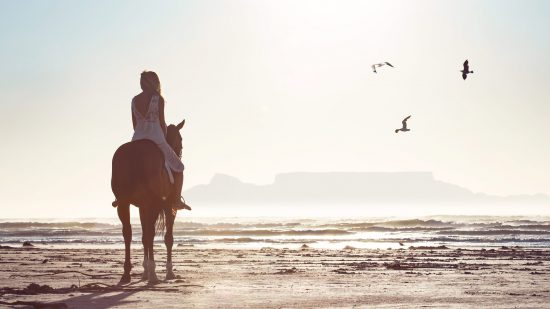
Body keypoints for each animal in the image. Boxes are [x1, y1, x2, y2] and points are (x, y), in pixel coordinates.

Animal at [111, 119, 185, 282]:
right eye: (181, 139)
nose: (179, 153)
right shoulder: (167, 206)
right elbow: (168, 238)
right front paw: (168, 271)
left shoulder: (142, 207)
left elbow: (144, 236)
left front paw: (145, 271)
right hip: (154, 204)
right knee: (150, 233)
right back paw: (153, 273)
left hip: (124, 203)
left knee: (128, 232)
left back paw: (127, 273)